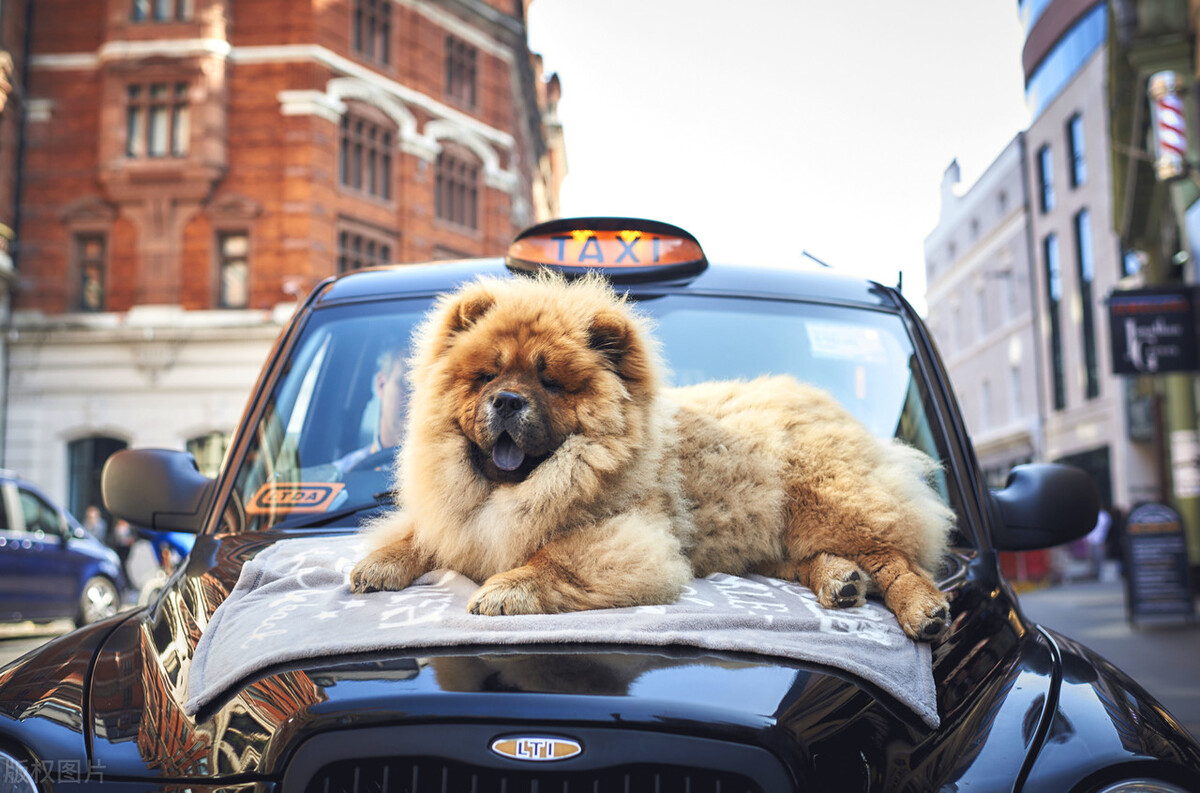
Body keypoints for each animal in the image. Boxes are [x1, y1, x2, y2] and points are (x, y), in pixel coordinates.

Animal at [348, 272, 955, 638]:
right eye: (487, 376)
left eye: (550, 382)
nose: (507, 400)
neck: (513, 490)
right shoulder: (456, 518)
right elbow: (417, 534)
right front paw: (377, 564)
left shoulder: (628, 535)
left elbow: (552, 557)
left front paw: (503, 590)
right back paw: (840, 580)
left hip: (827, 502)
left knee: (896, 557)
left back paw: (921, 610)